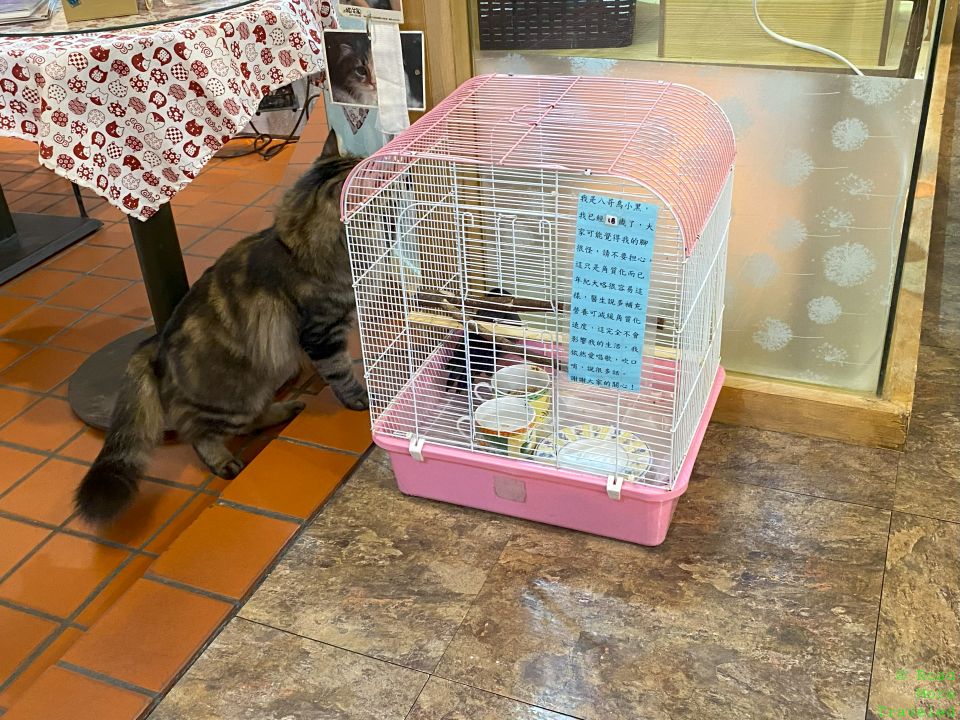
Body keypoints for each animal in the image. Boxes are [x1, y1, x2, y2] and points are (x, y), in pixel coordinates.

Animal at [73, 129, 368, 524]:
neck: (297, 246)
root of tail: (154, 343)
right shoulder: (323, 332)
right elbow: (340, 373)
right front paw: (360, 398)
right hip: (233, 400)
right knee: (198, 433)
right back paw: (223, 461)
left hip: (268, 375)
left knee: (253, 417)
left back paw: (284, 410)